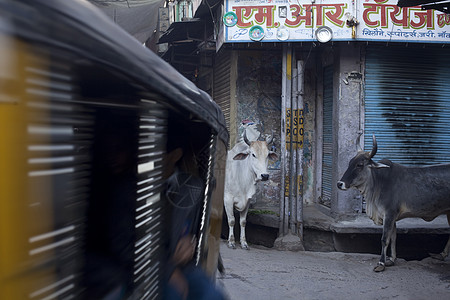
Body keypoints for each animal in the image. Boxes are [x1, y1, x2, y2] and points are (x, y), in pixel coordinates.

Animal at [338, 135, 450, 272]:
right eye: (350, 163)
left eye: (360, 165)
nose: (340, 184)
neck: (378, 183)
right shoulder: (391, 216)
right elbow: (393, 237)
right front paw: (391, 260)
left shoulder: (389, 214)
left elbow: (385, 239)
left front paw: (381, 263)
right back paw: (441, 255)